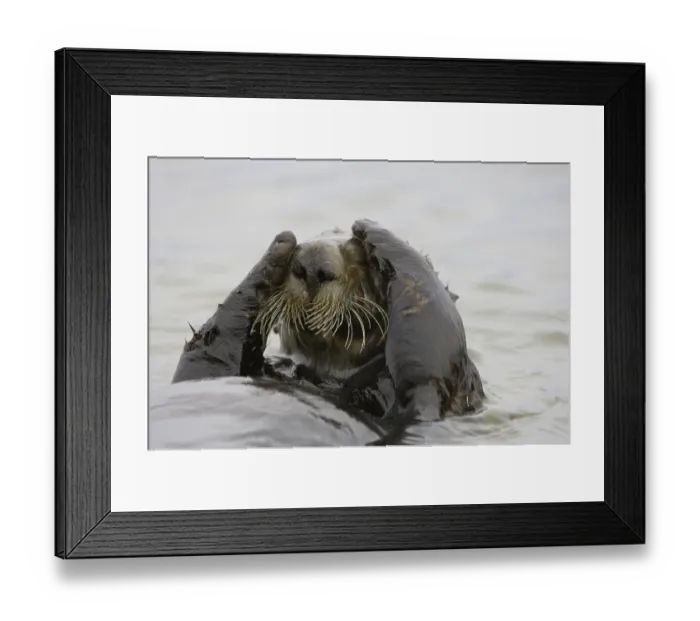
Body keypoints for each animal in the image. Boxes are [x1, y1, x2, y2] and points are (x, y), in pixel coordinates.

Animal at [171, 221, 485, 445]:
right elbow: (209, 352)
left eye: (363, 259)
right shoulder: (209, 365)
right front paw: (280, 246)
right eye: (301, 249)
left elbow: (427, 374)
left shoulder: (427, 404)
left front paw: (375, 231)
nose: (312, 264)